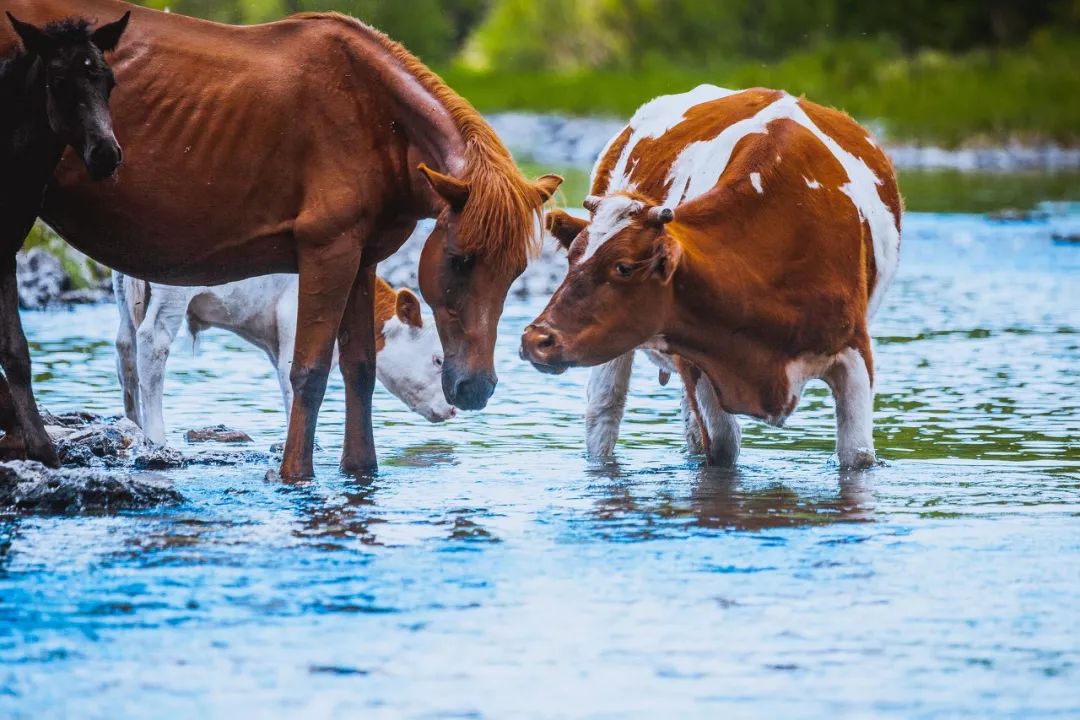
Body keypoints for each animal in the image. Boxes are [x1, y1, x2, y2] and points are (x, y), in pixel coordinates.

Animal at [0, 14, 129, 468]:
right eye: (57, 80)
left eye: (109, 80)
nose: (106, 154)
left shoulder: (7, 248)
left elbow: (17, 351)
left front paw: (38, 445)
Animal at [115, 274, 455, 446]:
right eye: (438, 360)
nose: (452, 408)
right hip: (171, 294)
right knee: (152, 344)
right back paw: (156, 437)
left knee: (125, 347)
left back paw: (134, 424)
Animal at [522, 85, 902, 468]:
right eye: (571, 257)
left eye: (624, 267)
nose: (535, 339)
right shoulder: (700, 362)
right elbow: (721, 450)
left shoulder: (854, 354)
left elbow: (858, 457)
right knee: (605, 411)